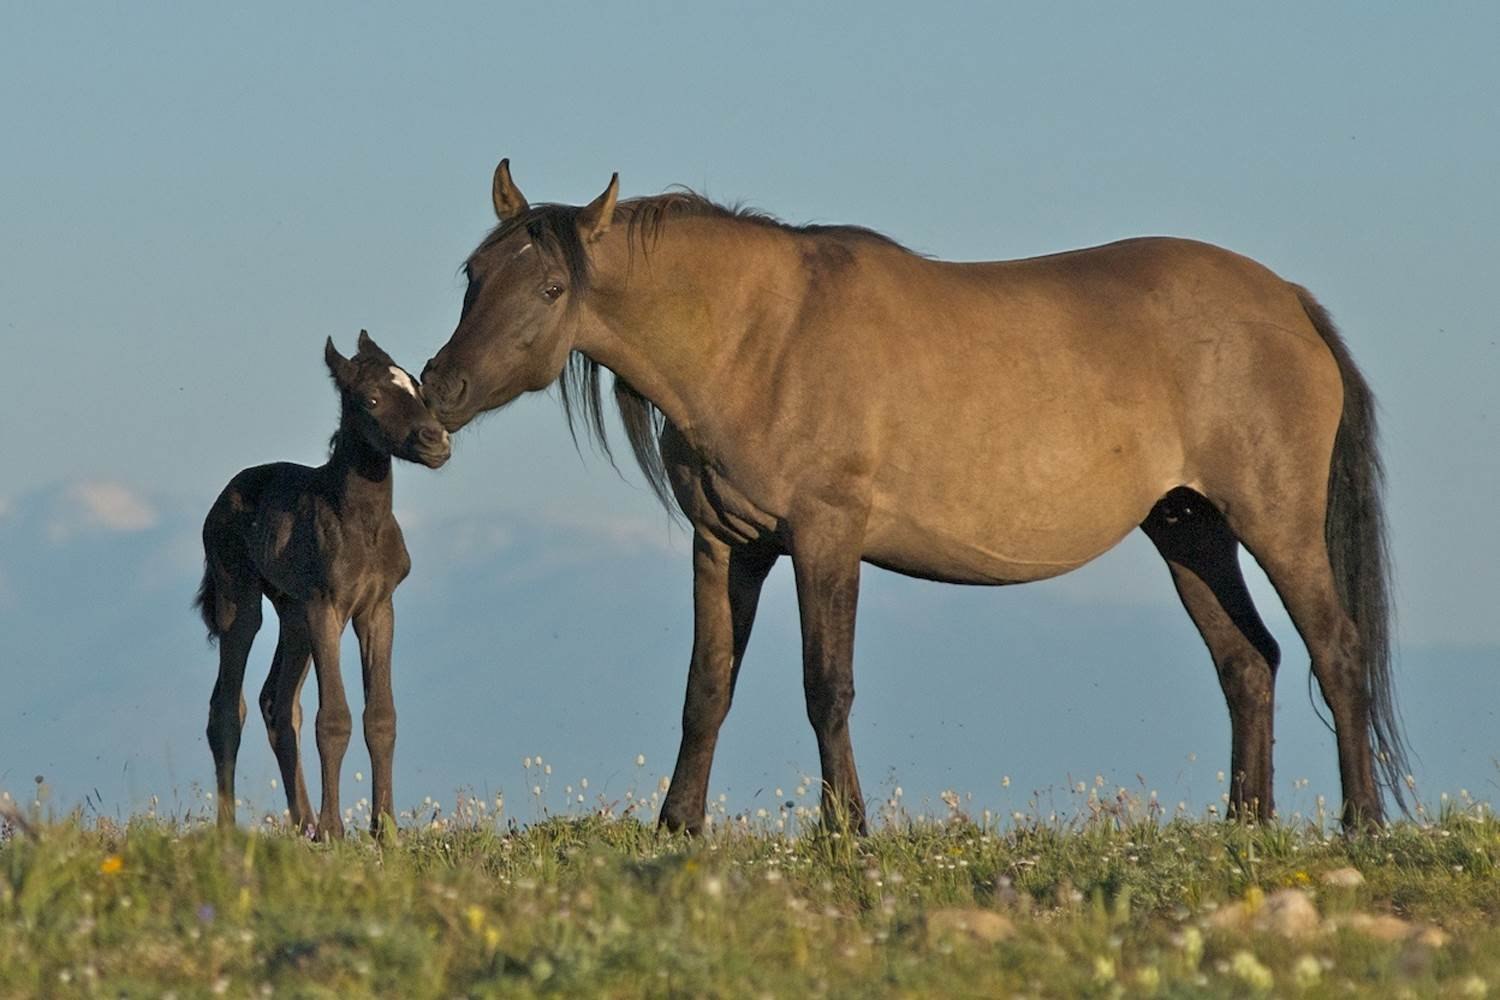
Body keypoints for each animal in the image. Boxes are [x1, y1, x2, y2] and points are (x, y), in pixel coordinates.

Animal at [196, 334, 450, 839]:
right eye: (370, 400)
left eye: (418, 390)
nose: (437, 441)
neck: (361, 525)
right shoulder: (326, 606)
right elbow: (333, 718)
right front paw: (336, 830)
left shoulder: (378, 607)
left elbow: (381, 716)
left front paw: (384, 828)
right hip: (241, 597)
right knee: (227, 707)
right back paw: (232, 830)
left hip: (292, 612)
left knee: (276, 703)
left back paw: (304, 825)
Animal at [420, 162, 1404, 839]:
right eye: (472, 276)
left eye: (552, 287)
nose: (440, 388)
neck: (760, 338)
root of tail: (1288, 302)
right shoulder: (727, 543)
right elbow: (707, 686)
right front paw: (677, 827)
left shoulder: (826, 537)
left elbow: (827, 685)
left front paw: (846, 829)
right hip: (1188, 528)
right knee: (1248, 662)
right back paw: (1245, 827)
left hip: (1274, 521)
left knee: (1335, 647)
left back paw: (1361, 825)